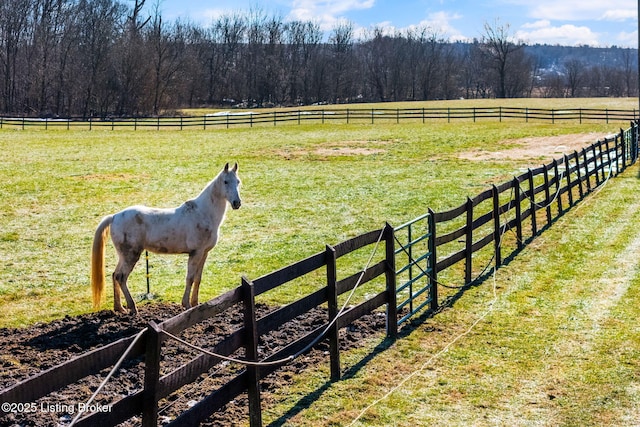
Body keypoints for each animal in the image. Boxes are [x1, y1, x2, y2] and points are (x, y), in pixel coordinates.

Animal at [89, 163, 240, 314]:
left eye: (238, 182)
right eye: (225, 182)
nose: (237, 203)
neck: (202, 213)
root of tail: (114, 217)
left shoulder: (204, 253)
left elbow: (198, 278)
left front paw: (196, 304)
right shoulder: (195, 253)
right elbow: (190, 278)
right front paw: (187, 305)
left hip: (124, 256)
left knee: (115, 275)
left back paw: (119, 308)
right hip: (131, 255)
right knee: (121, 277)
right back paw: (132, 308)